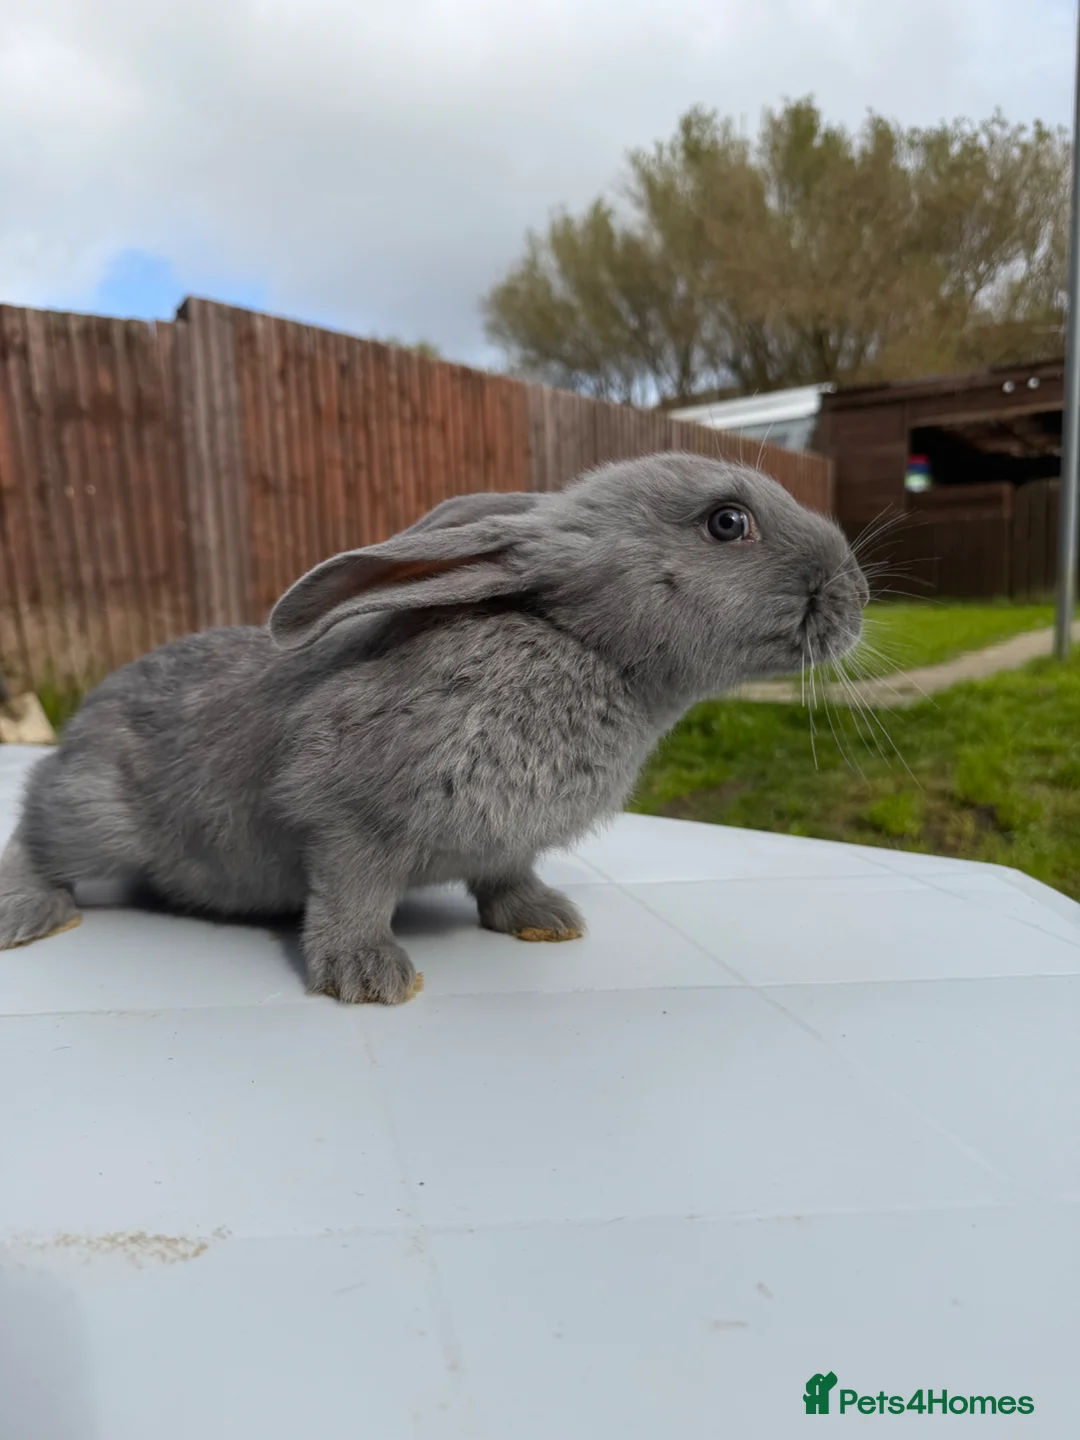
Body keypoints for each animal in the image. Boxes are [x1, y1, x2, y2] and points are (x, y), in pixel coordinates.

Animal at [0, 452, 868, 1002]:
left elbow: (506, 878)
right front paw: (369, 978)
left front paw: (549, 921)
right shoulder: (343, 819)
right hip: (92, 815)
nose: (858, 592)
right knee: (38, 839)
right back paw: (29, 915)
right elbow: (351, 893)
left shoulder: (509, 841)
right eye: (728, 524)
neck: (579, 644)